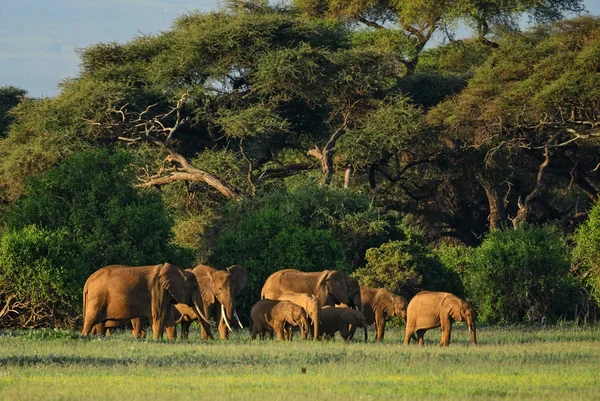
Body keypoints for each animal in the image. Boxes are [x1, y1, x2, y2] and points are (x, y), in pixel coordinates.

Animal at [81, 264, 209, 340]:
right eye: (194, 287)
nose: (210, 339)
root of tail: (88, 281)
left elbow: (167, 316)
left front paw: (168, 340)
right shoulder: (157, 291)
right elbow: (159, 316)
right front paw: (157, 340)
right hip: (97, 298)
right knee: (91, 320)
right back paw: (85, 337)